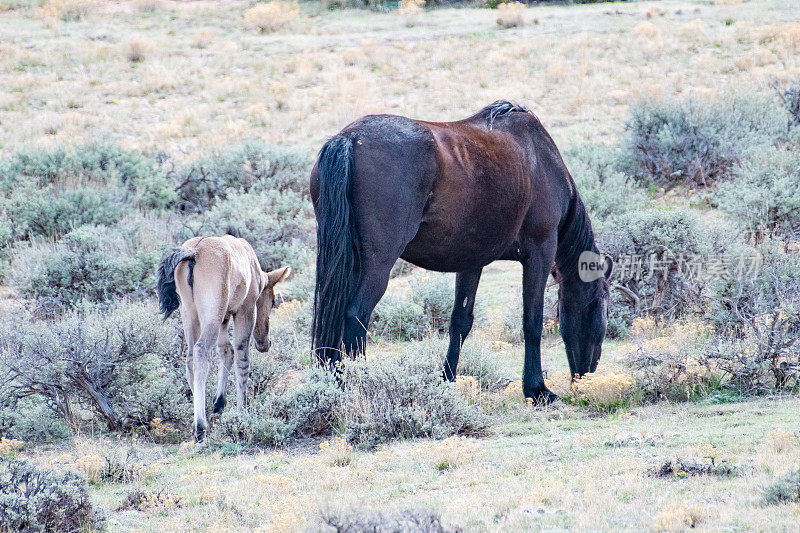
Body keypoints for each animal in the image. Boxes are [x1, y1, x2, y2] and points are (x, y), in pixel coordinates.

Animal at [312, 100, 612, 402]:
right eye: (601, 306)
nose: (587, 377)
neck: (542, 162)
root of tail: (349, 138)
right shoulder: (540, 253)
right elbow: (532, 322)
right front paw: (537, 389)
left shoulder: (472, 262)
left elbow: (460, 322)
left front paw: (446, 380)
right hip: (379, 264)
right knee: (356, 317)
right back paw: (358, 386)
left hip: (350, 262)